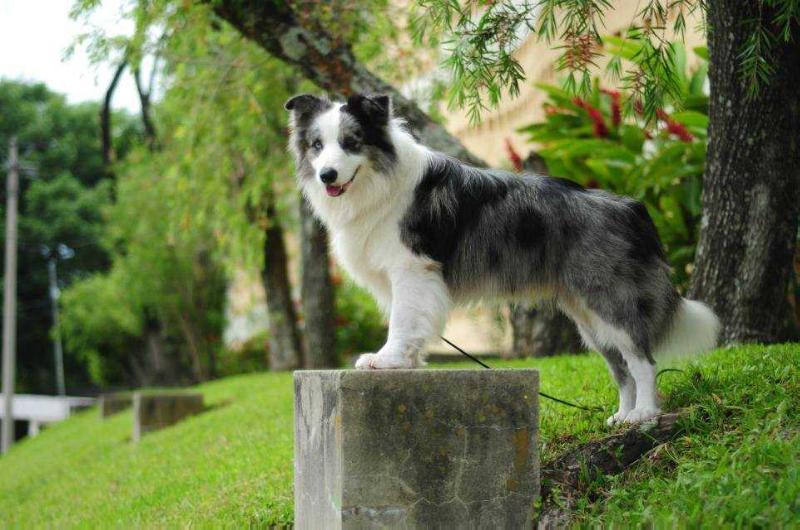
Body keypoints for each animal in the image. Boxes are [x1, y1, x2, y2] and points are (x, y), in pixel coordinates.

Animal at [286, 93, 720, 422]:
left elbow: (403, 321)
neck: (379, 180)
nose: (326, 175)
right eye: (317, 146)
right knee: (621, 366)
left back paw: (645, 415)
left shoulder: (412, 268)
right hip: (587, 315)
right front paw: (405, 362)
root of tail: (631, 207)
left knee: (642, 359)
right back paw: (623, 416)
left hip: (609, 299)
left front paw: (387, 360)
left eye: (352, 141)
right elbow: (410, 324)